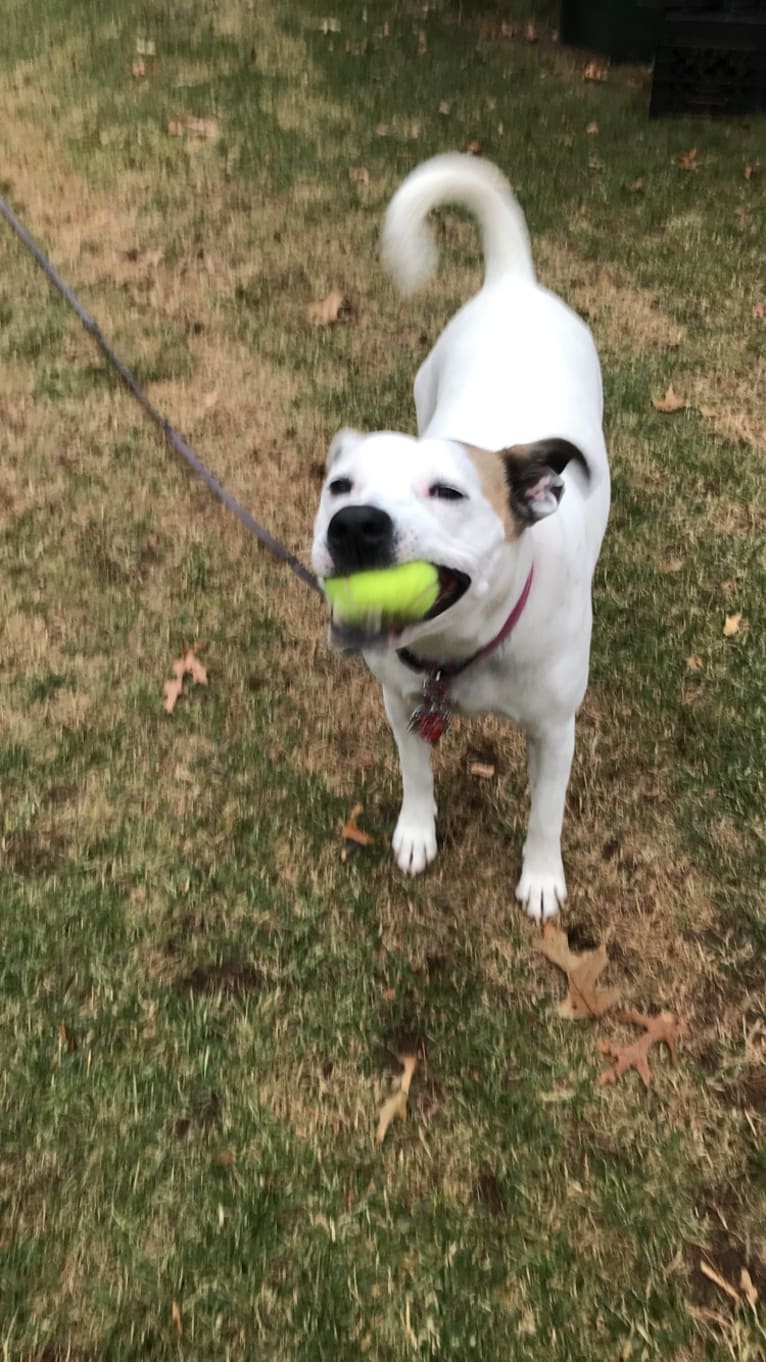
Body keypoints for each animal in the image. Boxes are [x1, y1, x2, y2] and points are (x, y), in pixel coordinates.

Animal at [310, 156, 607, 926]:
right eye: (340, 486)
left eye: (449, 493)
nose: (355, 525)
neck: (463, 651)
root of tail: (512, 281)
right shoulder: (401, 702)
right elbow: (415, 776)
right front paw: (416, 833)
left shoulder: (555, 730)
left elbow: (545, 816)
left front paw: (541, 880)